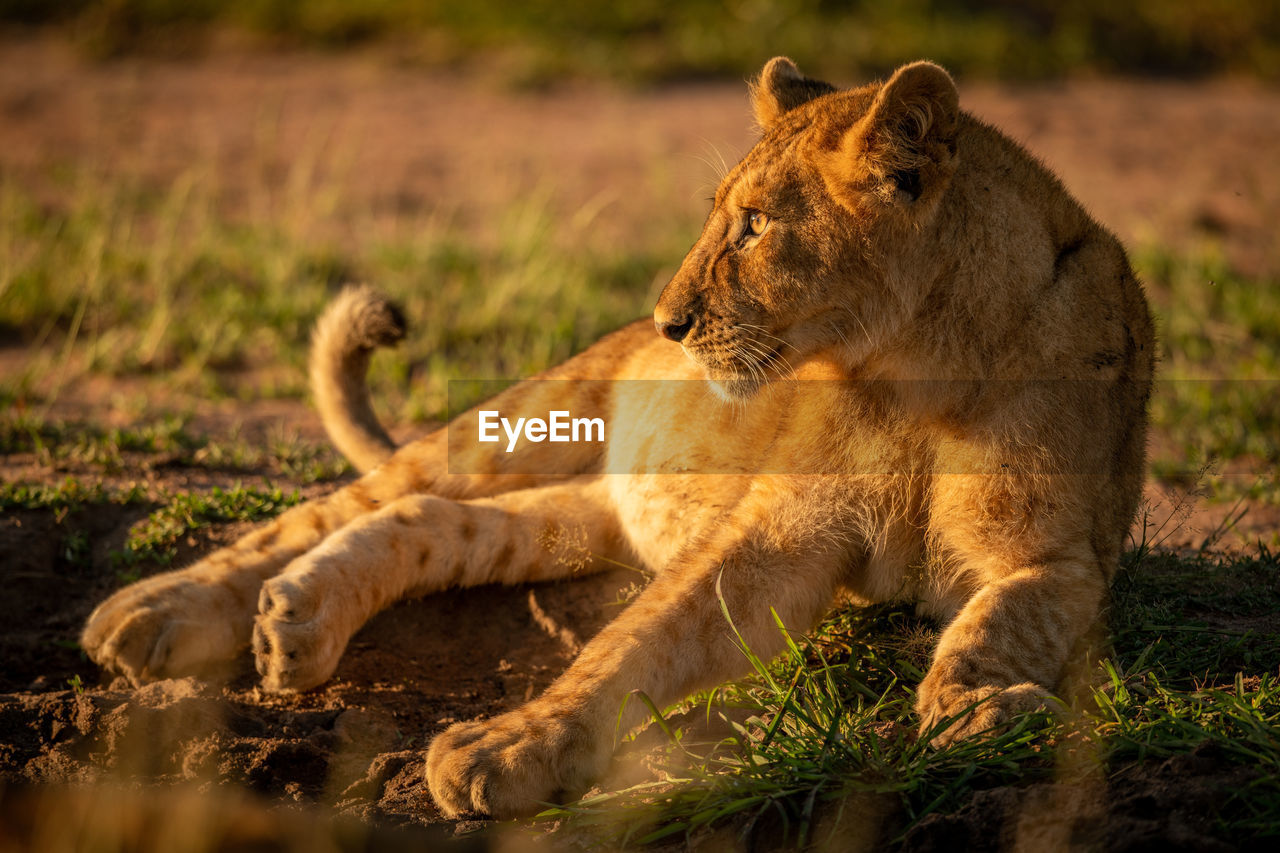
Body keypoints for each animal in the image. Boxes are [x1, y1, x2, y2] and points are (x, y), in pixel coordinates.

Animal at [82, 59, 1162, 819]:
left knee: (423, 517)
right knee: (337, 504)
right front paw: (505, 749)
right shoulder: (784, 527)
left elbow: (991, 624)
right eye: (722, 217)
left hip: (581, 513)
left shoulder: (1060, 556)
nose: (668, 322)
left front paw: (976, 712)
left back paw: (298, 620)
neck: (913, 374)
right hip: (530, 413)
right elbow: (635, 639)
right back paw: (155, 614)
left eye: (755, 226)